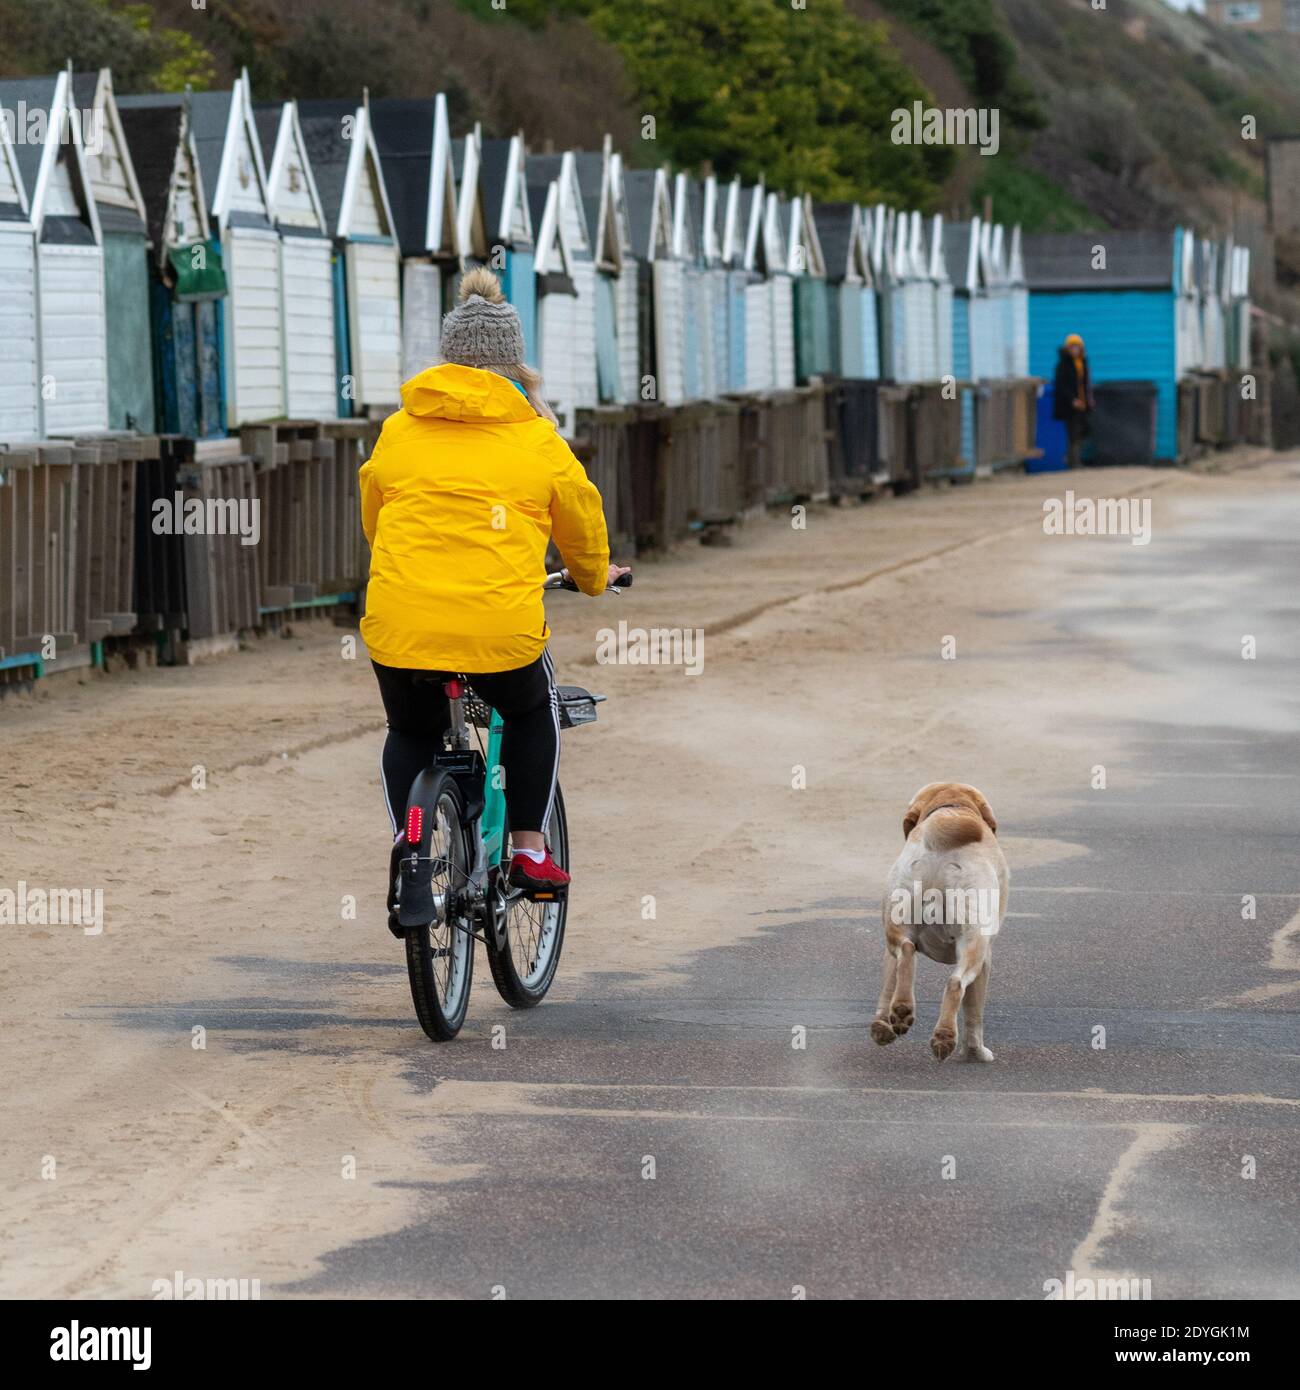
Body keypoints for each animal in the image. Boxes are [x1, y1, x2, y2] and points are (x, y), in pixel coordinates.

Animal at [867, 783, 1012, 1061]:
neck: (955, 804)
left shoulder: (887, 952)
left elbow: (887, 984)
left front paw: (882, 1027)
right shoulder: (986, 959)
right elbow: (974, 1014)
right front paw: (975, 1053)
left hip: (897, 925)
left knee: (906, 953)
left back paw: (902, 1010)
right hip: (974, 945)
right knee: (956, 984)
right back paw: (945, 1037)